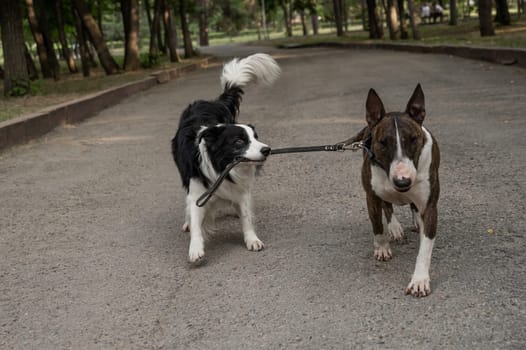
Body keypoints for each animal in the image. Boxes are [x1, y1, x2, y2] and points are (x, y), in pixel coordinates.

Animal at [172, 54, 280, 262]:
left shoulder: (241, 189)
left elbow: (246, 216)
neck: (221, 166)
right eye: (239, 142)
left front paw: (252, 239)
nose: (267, 149)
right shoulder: (197, 191)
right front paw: (195, 248)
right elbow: (196, 221)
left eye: (256, 137)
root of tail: (214, 102)